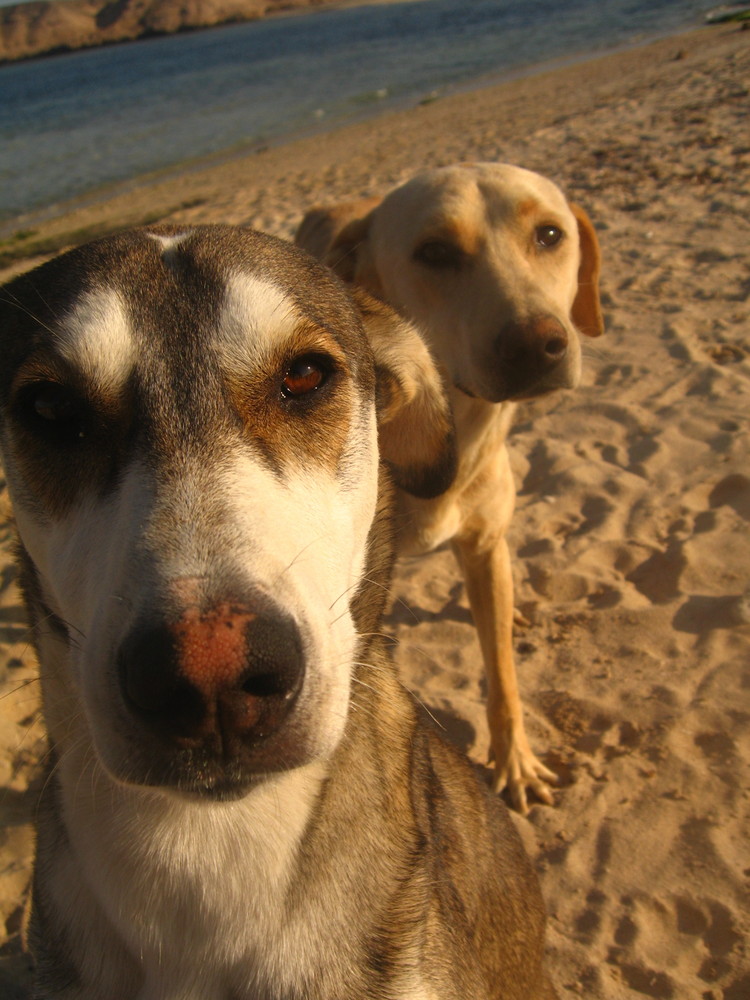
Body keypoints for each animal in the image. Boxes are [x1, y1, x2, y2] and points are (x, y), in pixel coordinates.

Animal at [296, 158, 604, 812]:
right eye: (434, 252)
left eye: (549, 235)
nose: (537, 343)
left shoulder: (485, 542)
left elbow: (503, 675)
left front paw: (515, 760)